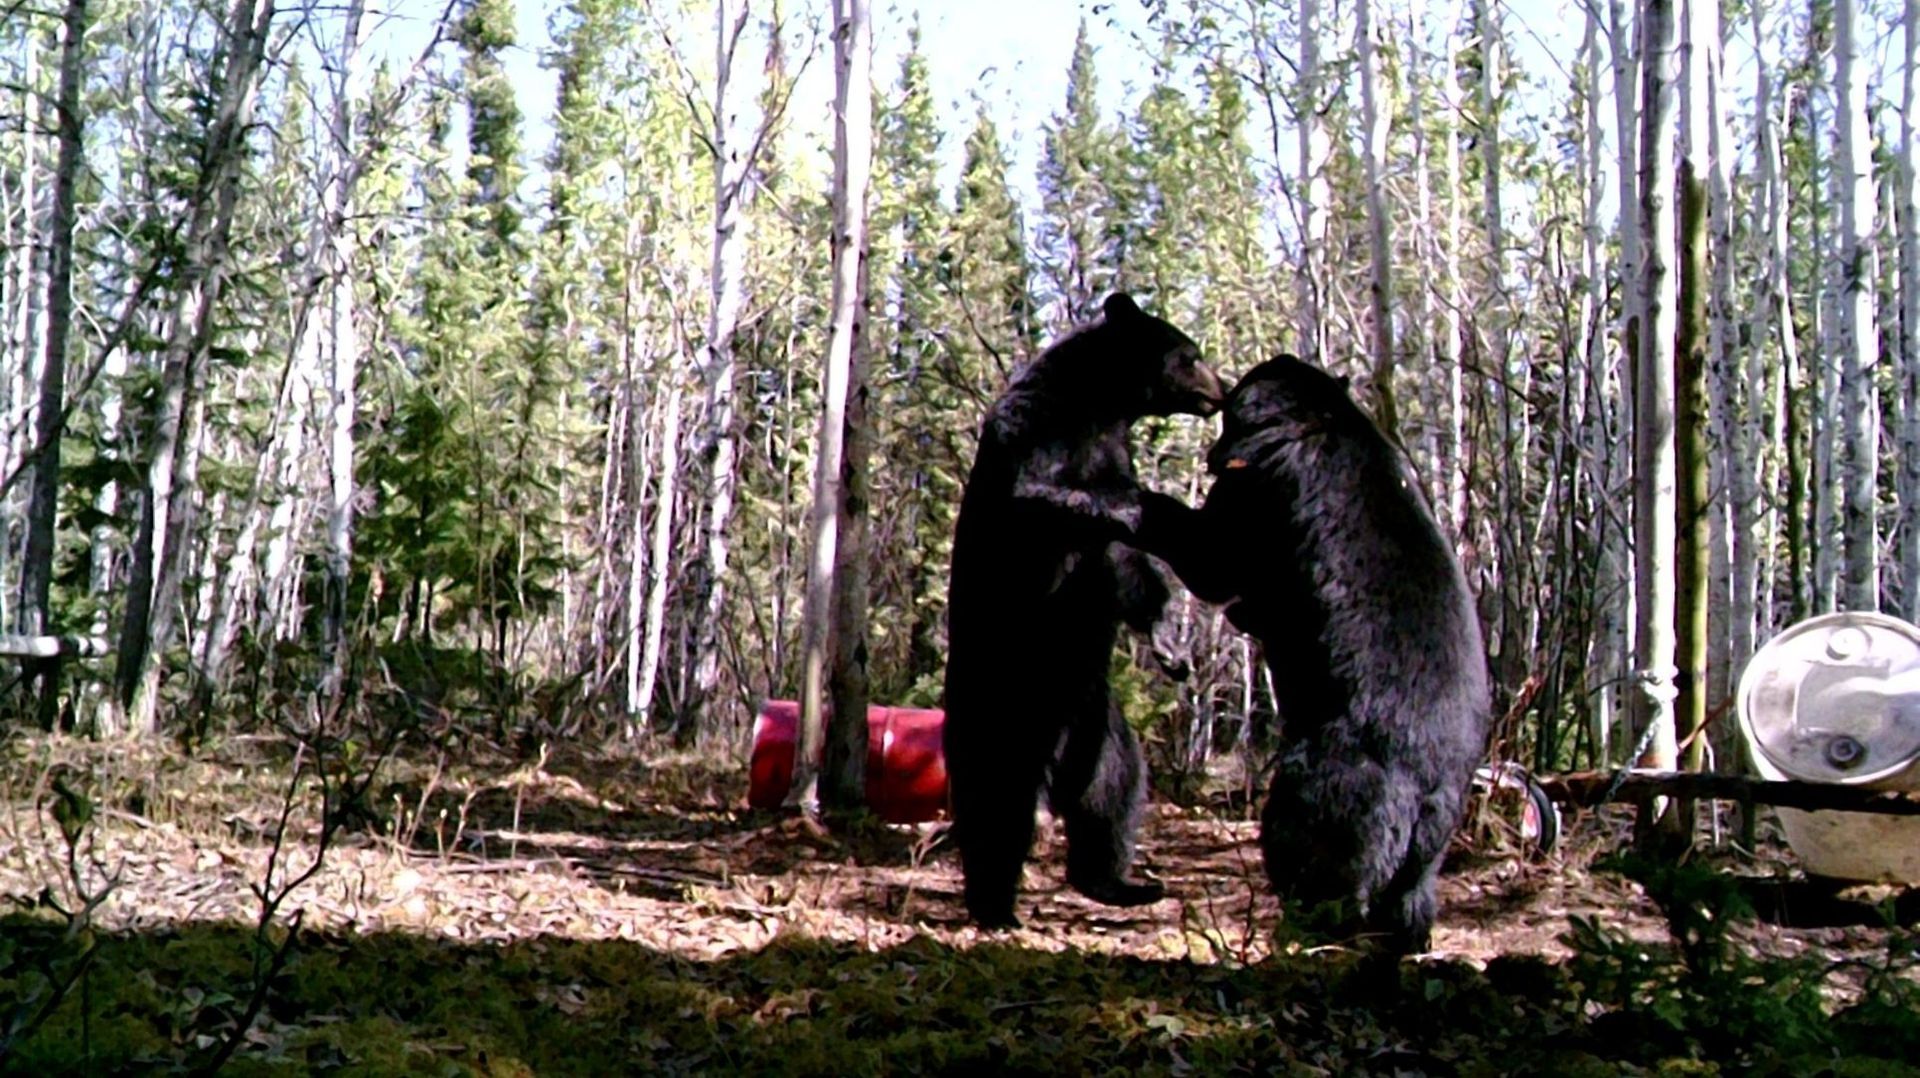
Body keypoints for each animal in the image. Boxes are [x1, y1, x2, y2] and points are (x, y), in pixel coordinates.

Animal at [942, 292, 1226, 929]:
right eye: (1190, 353)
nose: (1219, 389)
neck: (1099, 403)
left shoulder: (1112, 448)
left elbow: (1121, 566)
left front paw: (1170, 641)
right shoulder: (1035, 425)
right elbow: (1037, 493)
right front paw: (1146, 510)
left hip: (1099, 721)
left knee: (1115, 791)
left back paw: (1118, 881)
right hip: (1001, 711)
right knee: (997, 805)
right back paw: (994, 906)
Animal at [1137, 353, 1490, 954]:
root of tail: (1424, 787)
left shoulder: (1258, 497)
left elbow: (1209, 554)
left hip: (1328, 787)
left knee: (1316, 863)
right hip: (1433, 844)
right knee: (1410, 899)